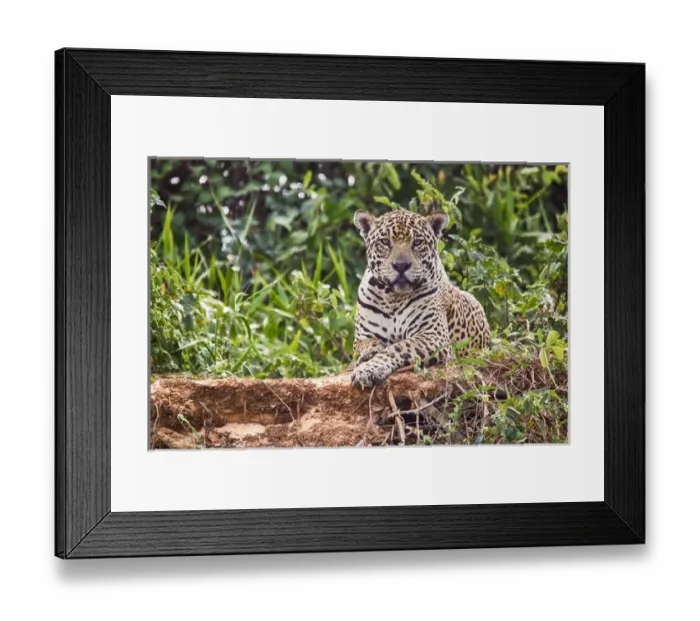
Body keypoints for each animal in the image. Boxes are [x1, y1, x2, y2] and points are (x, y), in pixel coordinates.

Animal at [349, 208, 490, 389]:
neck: (393, 298)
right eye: (385, 242)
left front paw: (368, 370)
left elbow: (397, 348)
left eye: (417, 242)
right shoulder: (362, 337)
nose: (401, 265)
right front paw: (369, 354)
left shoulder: (433, 335)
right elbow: (369, 344)